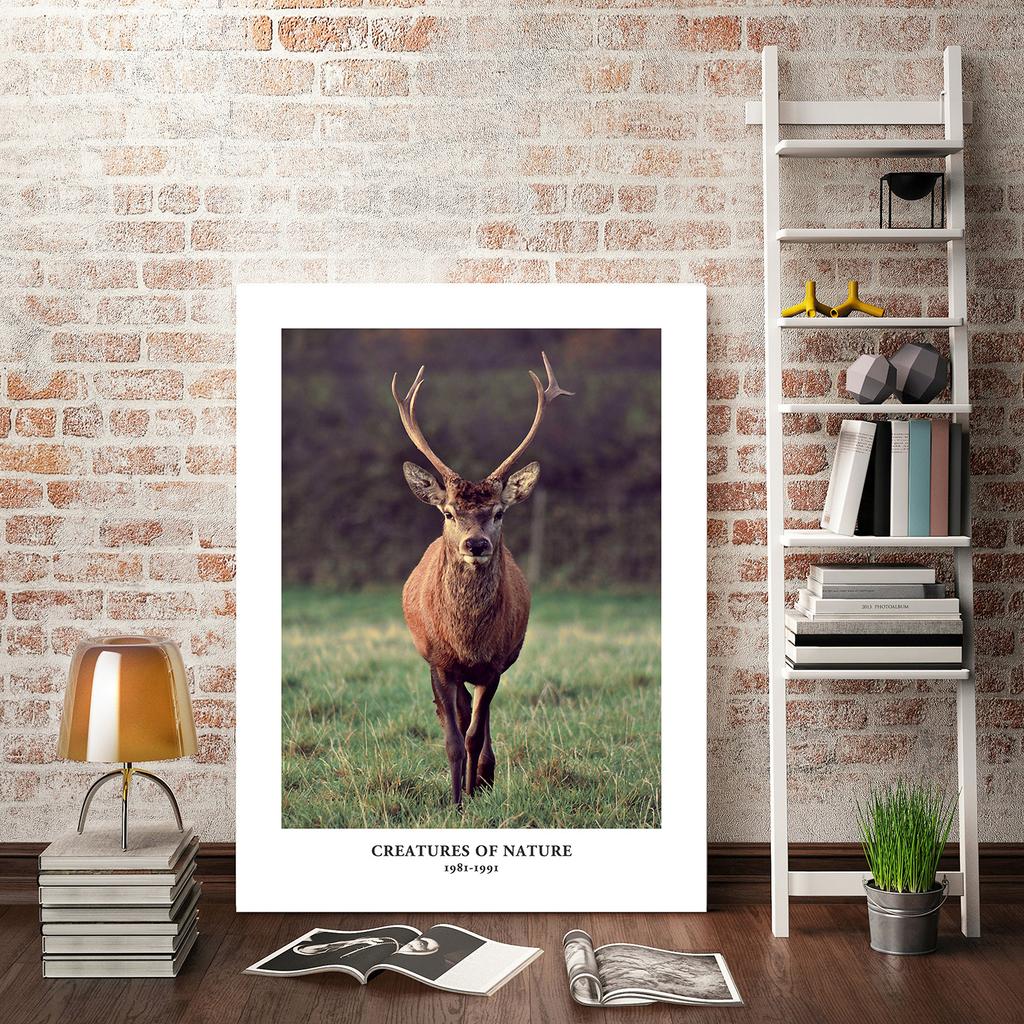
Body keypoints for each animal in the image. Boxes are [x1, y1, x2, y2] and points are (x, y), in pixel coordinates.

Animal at [391, 352, 572, 808]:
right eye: (449, 512)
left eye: (499, 512)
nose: (475, 544)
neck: (467, 638)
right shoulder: (440, 661)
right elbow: (453, 739)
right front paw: (455, 800)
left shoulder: (494, 664)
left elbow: (474, 734)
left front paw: (473, 791)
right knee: (455, 715)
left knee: (479, 720)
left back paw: (486, 777)